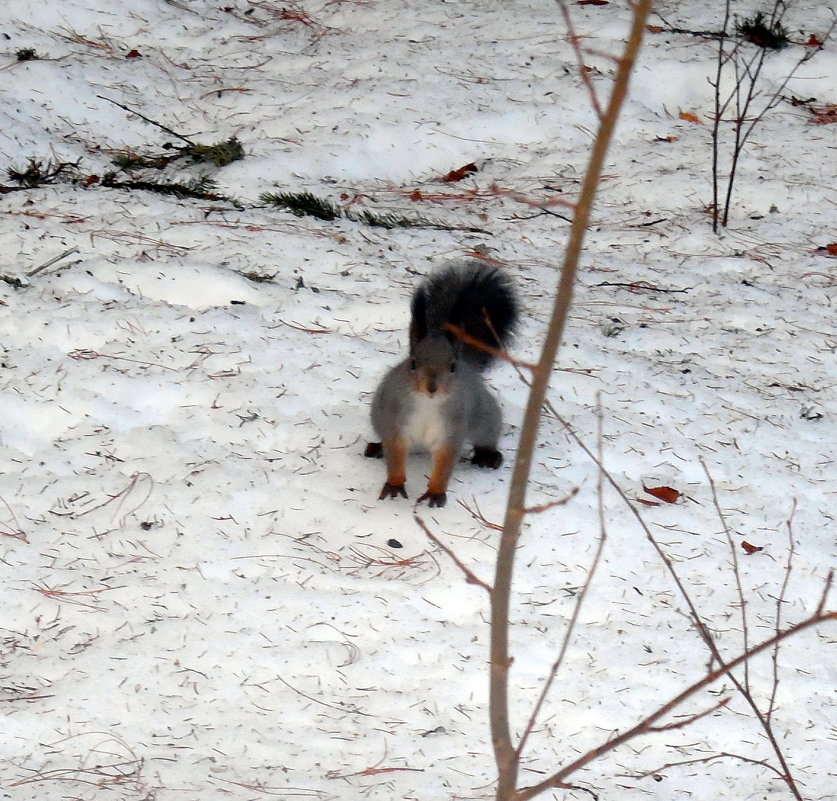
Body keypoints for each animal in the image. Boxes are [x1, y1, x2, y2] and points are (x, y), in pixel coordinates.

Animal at [364, 260, 516, 506]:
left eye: (452, 366)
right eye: (413, 363)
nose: (432, 387)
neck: (428, 404)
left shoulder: (452, 429)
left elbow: (444, 464)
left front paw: (435, 493)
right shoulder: (396, 422)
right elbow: (395, 453)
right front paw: (394, 484)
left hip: (484, 417)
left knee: (487, 435)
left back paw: (489, 455)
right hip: (378, 414)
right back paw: (376, 447)